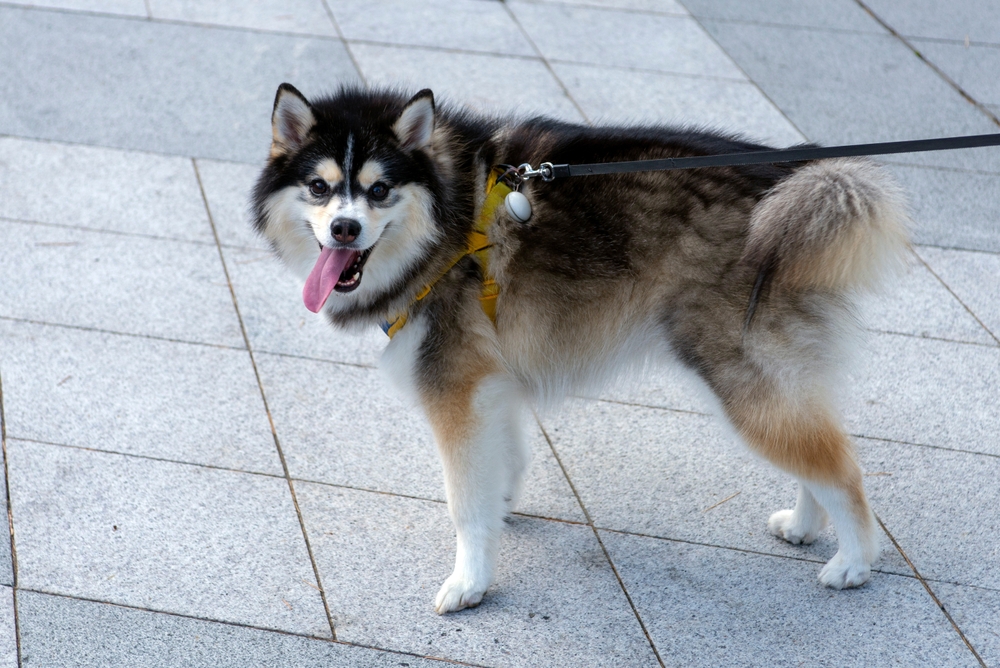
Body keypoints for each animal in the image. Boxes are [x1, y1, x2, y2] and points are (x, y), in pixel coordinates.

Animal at [248, 85, 908, 616]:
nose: (345, 229)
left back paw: (854, 562)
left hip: (738, 371)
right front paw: (501, 507)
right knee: (814, 446)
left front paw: (470, 581)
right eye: (319, 188)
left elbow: (464, 502)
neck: (448, 219)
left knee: (839, 467)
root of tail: (787, 176)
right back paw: (804, 525)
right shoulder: (491, 379)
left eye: (379, 189)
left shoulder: (454, 388)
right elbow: (504, 458)